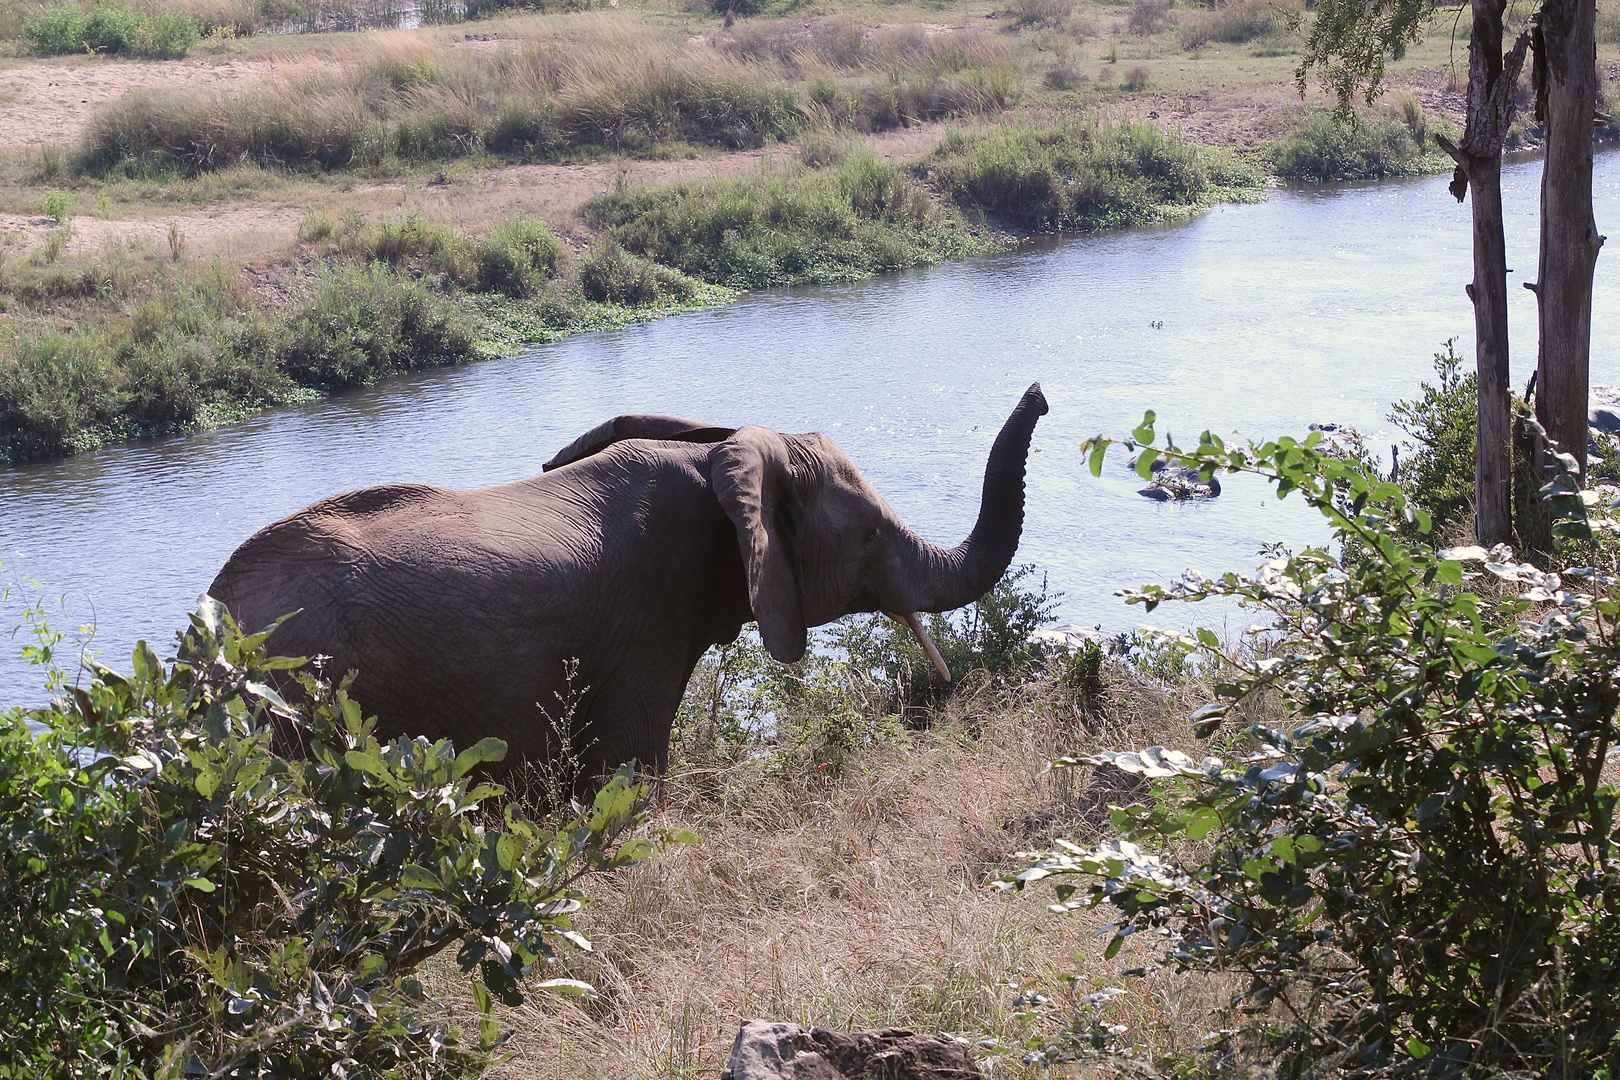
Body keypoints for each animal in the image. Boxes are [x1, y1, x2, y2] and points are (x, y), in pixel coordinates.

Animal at [212, 383, 1049, 780]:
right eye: (870, 533)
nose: (1040, 393)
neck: (716, 459)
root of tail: (218, 607)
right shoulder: (647, 619)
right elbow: (634, 772)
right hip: (297, 703)